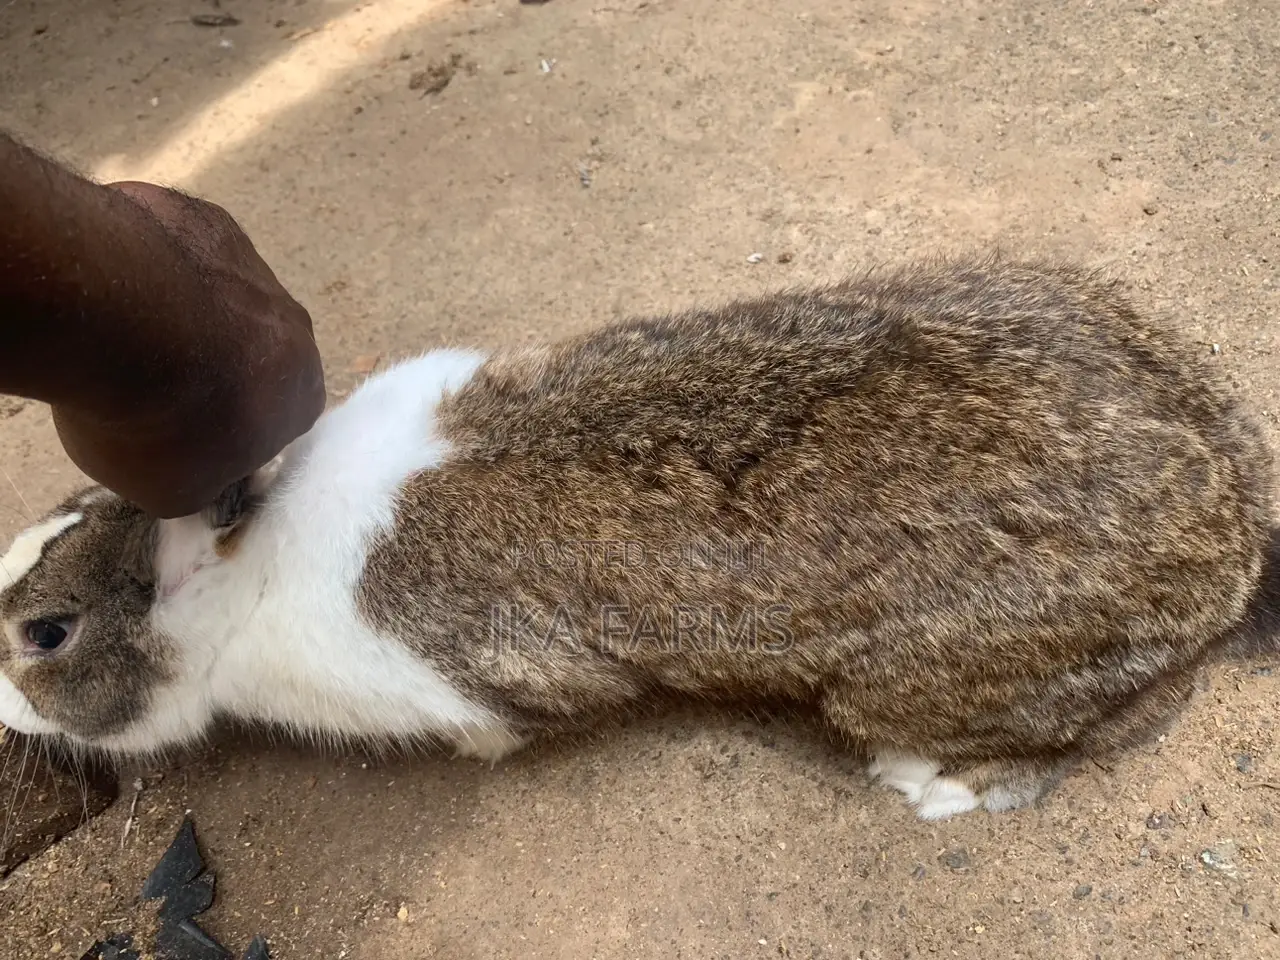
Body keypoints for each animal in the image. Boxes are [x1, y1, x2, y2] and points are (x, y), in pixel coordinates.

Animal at [0, 254, 1273, 821]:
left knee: (1127, 720)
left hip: (924, 680)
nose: (3, 707)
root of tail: (1231, 522)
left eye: (47, 633)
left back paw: (941, 785)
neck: (244, 567)